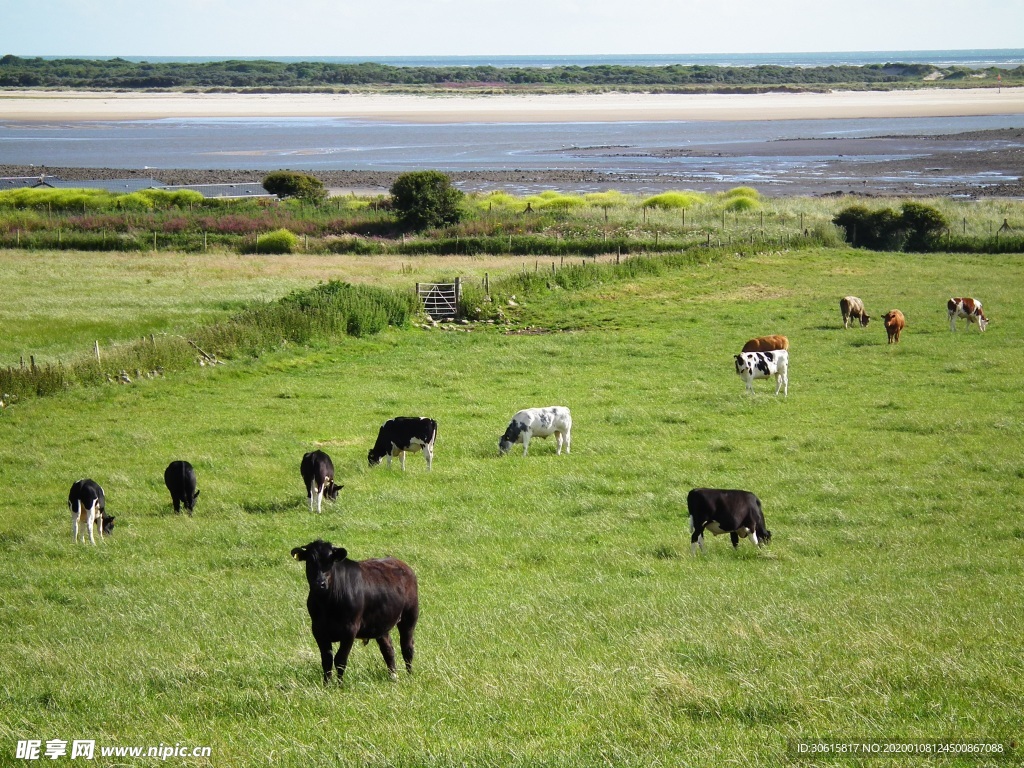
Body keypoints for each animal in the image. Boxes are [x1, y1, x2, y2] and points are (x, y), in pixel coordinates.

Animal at [290, 540, 417, 684]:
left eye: (330, 561)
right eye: (310, 561)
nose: (319, 584)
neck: (327, 604)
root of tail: (402, 564)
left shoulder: (350, 629)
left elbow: (340, 660)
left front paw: (340, 685)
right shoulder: (318, 629)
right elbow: (326, 659)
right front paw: (326, 684)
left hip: (409, 617)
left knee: (407, 647)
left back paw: (409, 675)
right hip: (381, 624)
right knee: (388, 649)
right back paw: (393, 676)